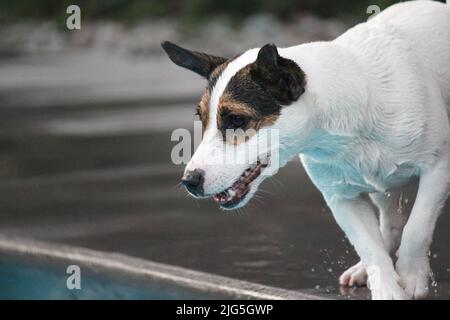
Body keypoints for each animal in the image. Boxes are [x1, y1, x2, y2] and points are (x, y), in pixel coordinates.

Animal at [163, 0, 450, 300]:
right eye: (201, 119)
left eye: (237, 121)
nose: (190, 181)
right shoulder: (341, 198)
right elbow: (369, 247)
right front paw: (387, 289)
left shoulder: (438, 168)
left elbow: (418, 227)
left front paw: (412, 275)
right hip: (380, 183)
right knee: (391, 222)